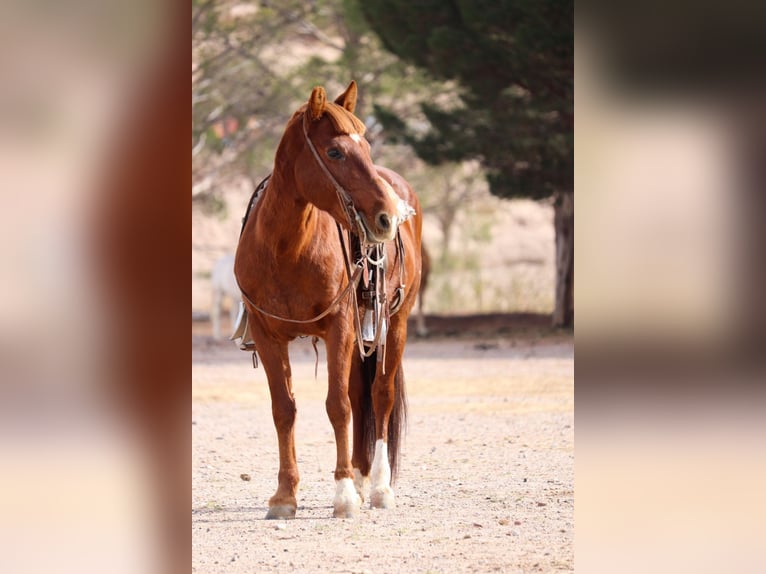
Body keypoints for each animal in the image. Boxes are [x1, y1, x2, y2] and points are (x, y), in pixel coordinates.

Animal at [236, 82, 426, 520]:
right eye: (335, 152)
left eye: (367, 147)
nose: (387, 216)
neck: (285, 249)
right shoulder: (268, 335)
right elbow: (284, 409)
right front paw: (284, 495)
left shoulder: (338, 327)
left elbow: (337, 405)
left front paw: (343, 495)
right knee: (360, 394)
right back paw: (359, 475)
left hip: (396, 324)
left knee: (380, 395)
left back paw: (378, 487)